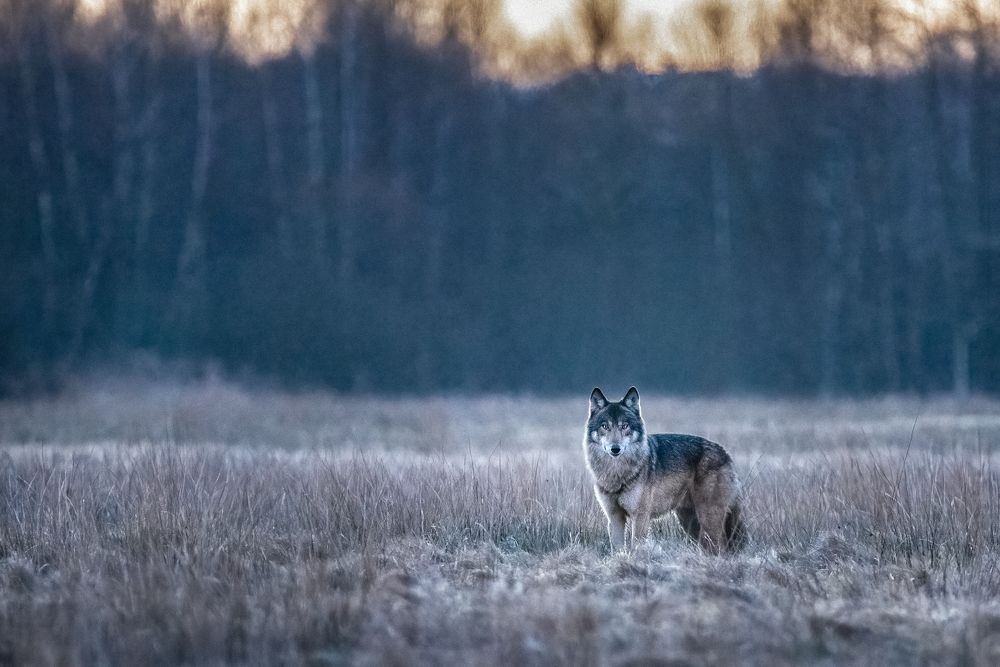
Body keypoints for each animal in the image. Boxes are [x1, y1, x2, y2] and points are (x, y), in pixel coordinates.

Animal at [583, 387, 746, 554]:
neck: (617, 473)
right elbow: (618, 549)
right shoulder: (615, 517)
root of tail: (725, 452)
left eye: (625, 426)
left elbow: (636, 547)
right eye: (605, 426)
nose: (615, 449)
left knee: (721, 547)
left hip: (708, 517)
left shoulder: (640, 517)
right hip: (689, 522)